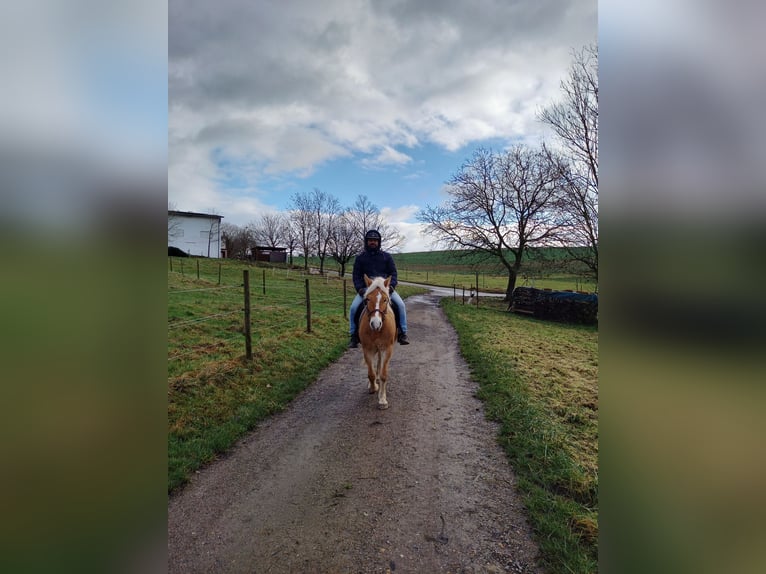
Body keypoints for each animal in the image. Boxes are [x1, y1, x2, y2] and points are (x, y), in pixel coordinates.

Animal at [358, 274, 400, 410]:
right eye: (367, 299)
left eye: (385, 300)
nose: (375, 324)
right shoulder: (367, 349)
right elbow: (370, 373)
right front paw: (373, 387)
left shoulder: (387, 349)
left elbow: (383, 374)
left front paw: (382, 399)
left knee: (380, 364)